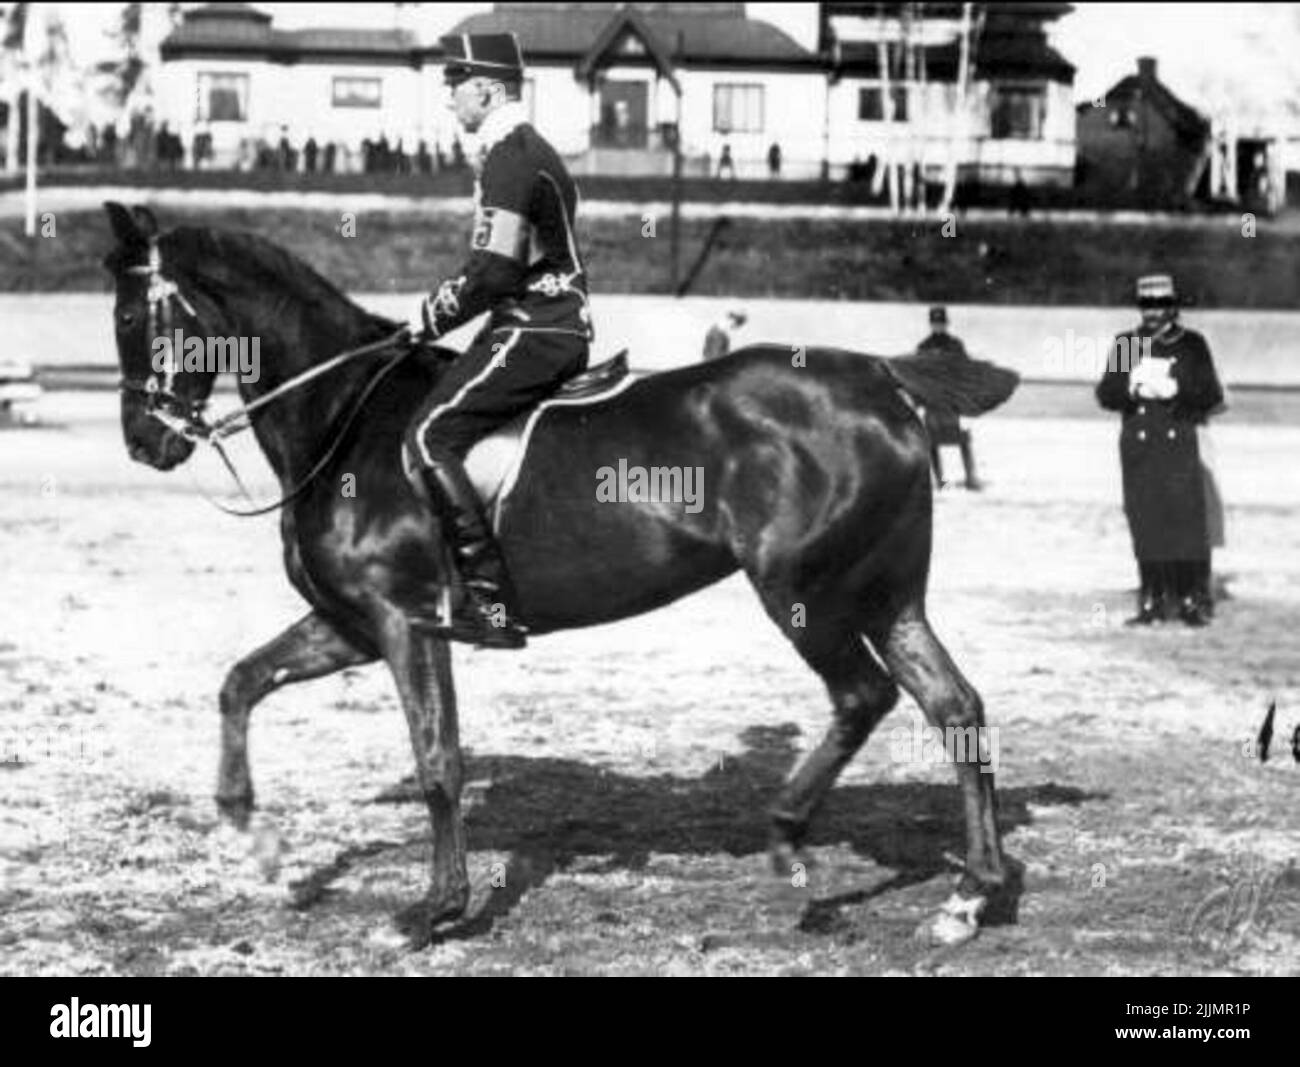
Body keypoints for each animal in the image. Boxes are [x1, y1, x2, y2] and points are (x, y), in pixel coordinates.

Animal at [101, 197, 1019, 940]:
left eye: (135, 320)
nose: (144, 443)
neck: (345, 417)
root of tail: (876, 372)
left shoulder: (406, 622)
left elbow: (439, 761)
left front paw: (434, 910)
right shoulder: (350, 624)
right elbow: (242, 680)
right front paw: (249, 830)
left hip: (806, 595)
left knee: (864, 698)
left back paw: (790, 838)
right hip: (886, 597)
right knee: (954, 708)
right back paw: (971, 896)